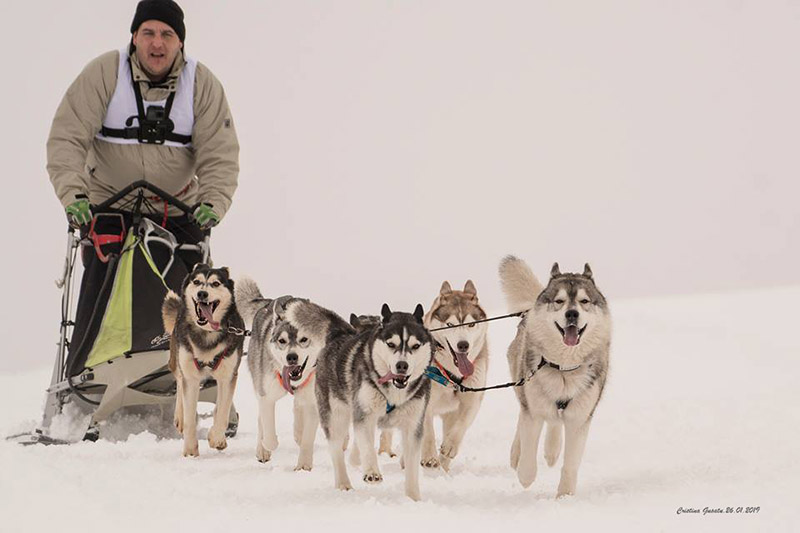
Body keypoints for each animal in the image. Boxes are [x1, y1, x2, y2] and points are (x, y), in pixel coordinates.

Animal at [162, 264, 245, 457]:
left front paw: (216, 438)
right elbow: (190, 417)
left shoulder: (228, 376)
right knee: (179, 380)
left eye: (215, 283)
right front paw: (190, 450)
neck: (207, 333)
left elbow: (222, 413)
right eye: (197, 281)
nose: (202, 294)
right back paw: (180, 416)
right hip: (177, 358)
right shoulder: (191, 378)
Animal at [235, 278, 353, 470]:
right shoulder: (267, 397)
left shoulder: (313, 402)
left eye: (304, 339)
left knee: (298, 407)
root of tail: (268, 303)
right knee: (262, 419)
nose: (292, 357)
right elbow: (268, 429)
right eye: (282, 341)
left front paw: (304, 466)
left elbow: (307, 438)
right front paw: (268, 444)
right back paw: (263, 449)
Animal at [316, 304, 434, 501]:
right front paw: (372, 472)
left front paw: (413, 498)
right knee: (336, 450)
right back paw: (344, 483)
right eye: (391, 344)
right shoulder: (364, 415)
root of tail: (338, 336)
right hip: (335, 417)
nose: (402, 365)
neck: (394, 393)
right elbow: (367, 448)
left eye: (415, 346)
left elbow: (412, 466)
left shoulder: (413, 425)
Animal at [419, 280, 489, 471]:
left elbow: (461, 424)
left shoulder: (472, 400)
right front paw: (429, 456)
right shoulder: (425, 402)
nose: (463, 345)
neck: (452, 375)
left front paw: (450, 446)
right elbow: (427, 431)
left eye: (471, 324)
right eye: (450, 325)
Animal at [499, 256, 611, 498]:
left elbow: (570, 463)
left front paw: (565, 496)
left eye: (584, 301)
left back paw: (551, 451)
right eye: (559, 301)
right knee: (525, 419)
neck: (564, 368)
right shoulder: (533, 410)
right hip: (523, 387)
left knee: (554, 424)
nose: (572, 314)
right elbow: (528, 452)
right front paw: (525, 477)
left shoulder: (580, 417)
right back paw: (517, 454)